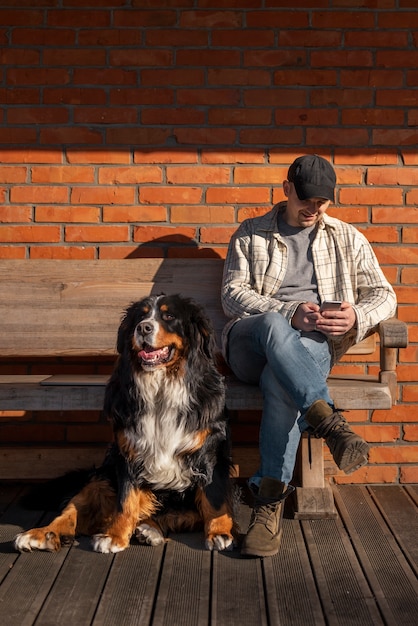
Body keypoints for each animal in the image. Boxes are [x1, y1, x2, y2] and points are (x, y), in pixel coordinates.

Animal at [13, 292, 238, 552]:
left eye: (169, 316)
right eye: (140, 317)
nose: (144, 328)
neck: (162, 386)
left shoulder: (210, 450)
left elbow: (214, 499)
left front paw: (220, 533)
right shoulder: (129, 451)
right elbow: (126, 501)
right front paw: (115, 536)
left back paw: (149, 530)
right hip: (101, 478)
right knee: (71, 511)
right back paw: (42, 534)